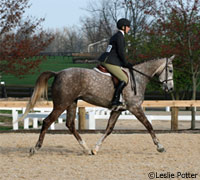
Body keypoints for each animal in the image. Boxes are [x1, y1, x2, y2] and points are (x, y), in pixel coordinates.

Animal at [19, 54, 175, 155]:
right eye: (170, 70)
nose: (170, 88)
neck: (138, 77)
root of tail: (58, 73)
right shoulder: (135, 107)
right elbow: (148, 125)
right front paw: (160, 147)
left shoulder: (118, 110)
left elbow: (109, 129)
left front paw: (95, 149)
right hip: (61, 104)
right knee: (47, 121)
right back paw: (35, 148)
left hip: (71, 103)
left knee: (70, 124)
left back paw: (86, 149)